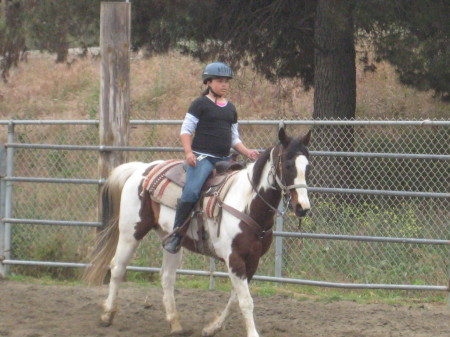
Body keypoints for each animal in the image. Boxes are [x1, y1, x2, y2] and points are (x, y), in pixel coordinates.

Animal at [82, 126, 312, 336]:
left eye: (307, 167)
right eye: (288, 164)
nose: (303, 207)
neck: (247, 203)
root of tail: (142, 169)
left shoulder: (252, 260)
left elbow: (235, 298)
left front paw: (213, 327)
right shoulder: (234, 258)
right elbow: (246, 301)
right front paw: (251, 333)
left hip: (171, 240)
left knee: (167, 276)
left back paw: (175, 324)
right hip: (131, 233)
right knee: (117, 267)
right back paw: (107, 315)